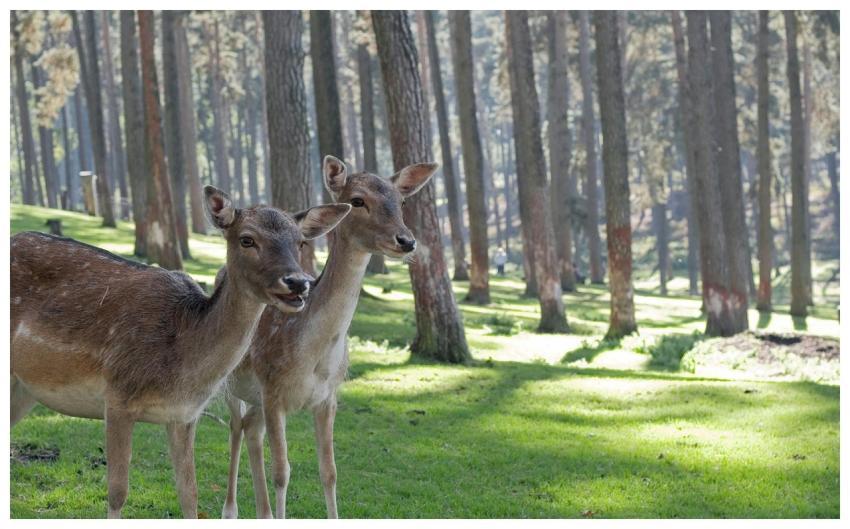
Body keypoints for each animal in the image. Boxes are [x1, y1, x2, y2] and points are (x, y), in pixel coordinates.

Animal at [10, 186, 351, 518]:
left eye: (301, 242)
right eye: (247, 239)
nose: (297, 283)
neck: (181, 365)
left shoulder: (184, 416)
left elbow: (190, 497)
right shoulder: (117, 397)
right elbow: (118, 494)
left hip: (23, 388)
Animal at [220, 156, 437, 519]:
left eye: (402, 202)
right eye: (357, 201)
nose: (406, 241)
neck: (314, 357)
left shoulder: (328, 397)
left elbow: (330, 472)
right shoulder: (273, 391)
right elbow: (282, 472)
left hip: (256, 398)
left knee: (251, 429)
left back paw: (262, 513)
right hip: (230, 381)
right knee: (236, 427)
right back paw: (230, 510)